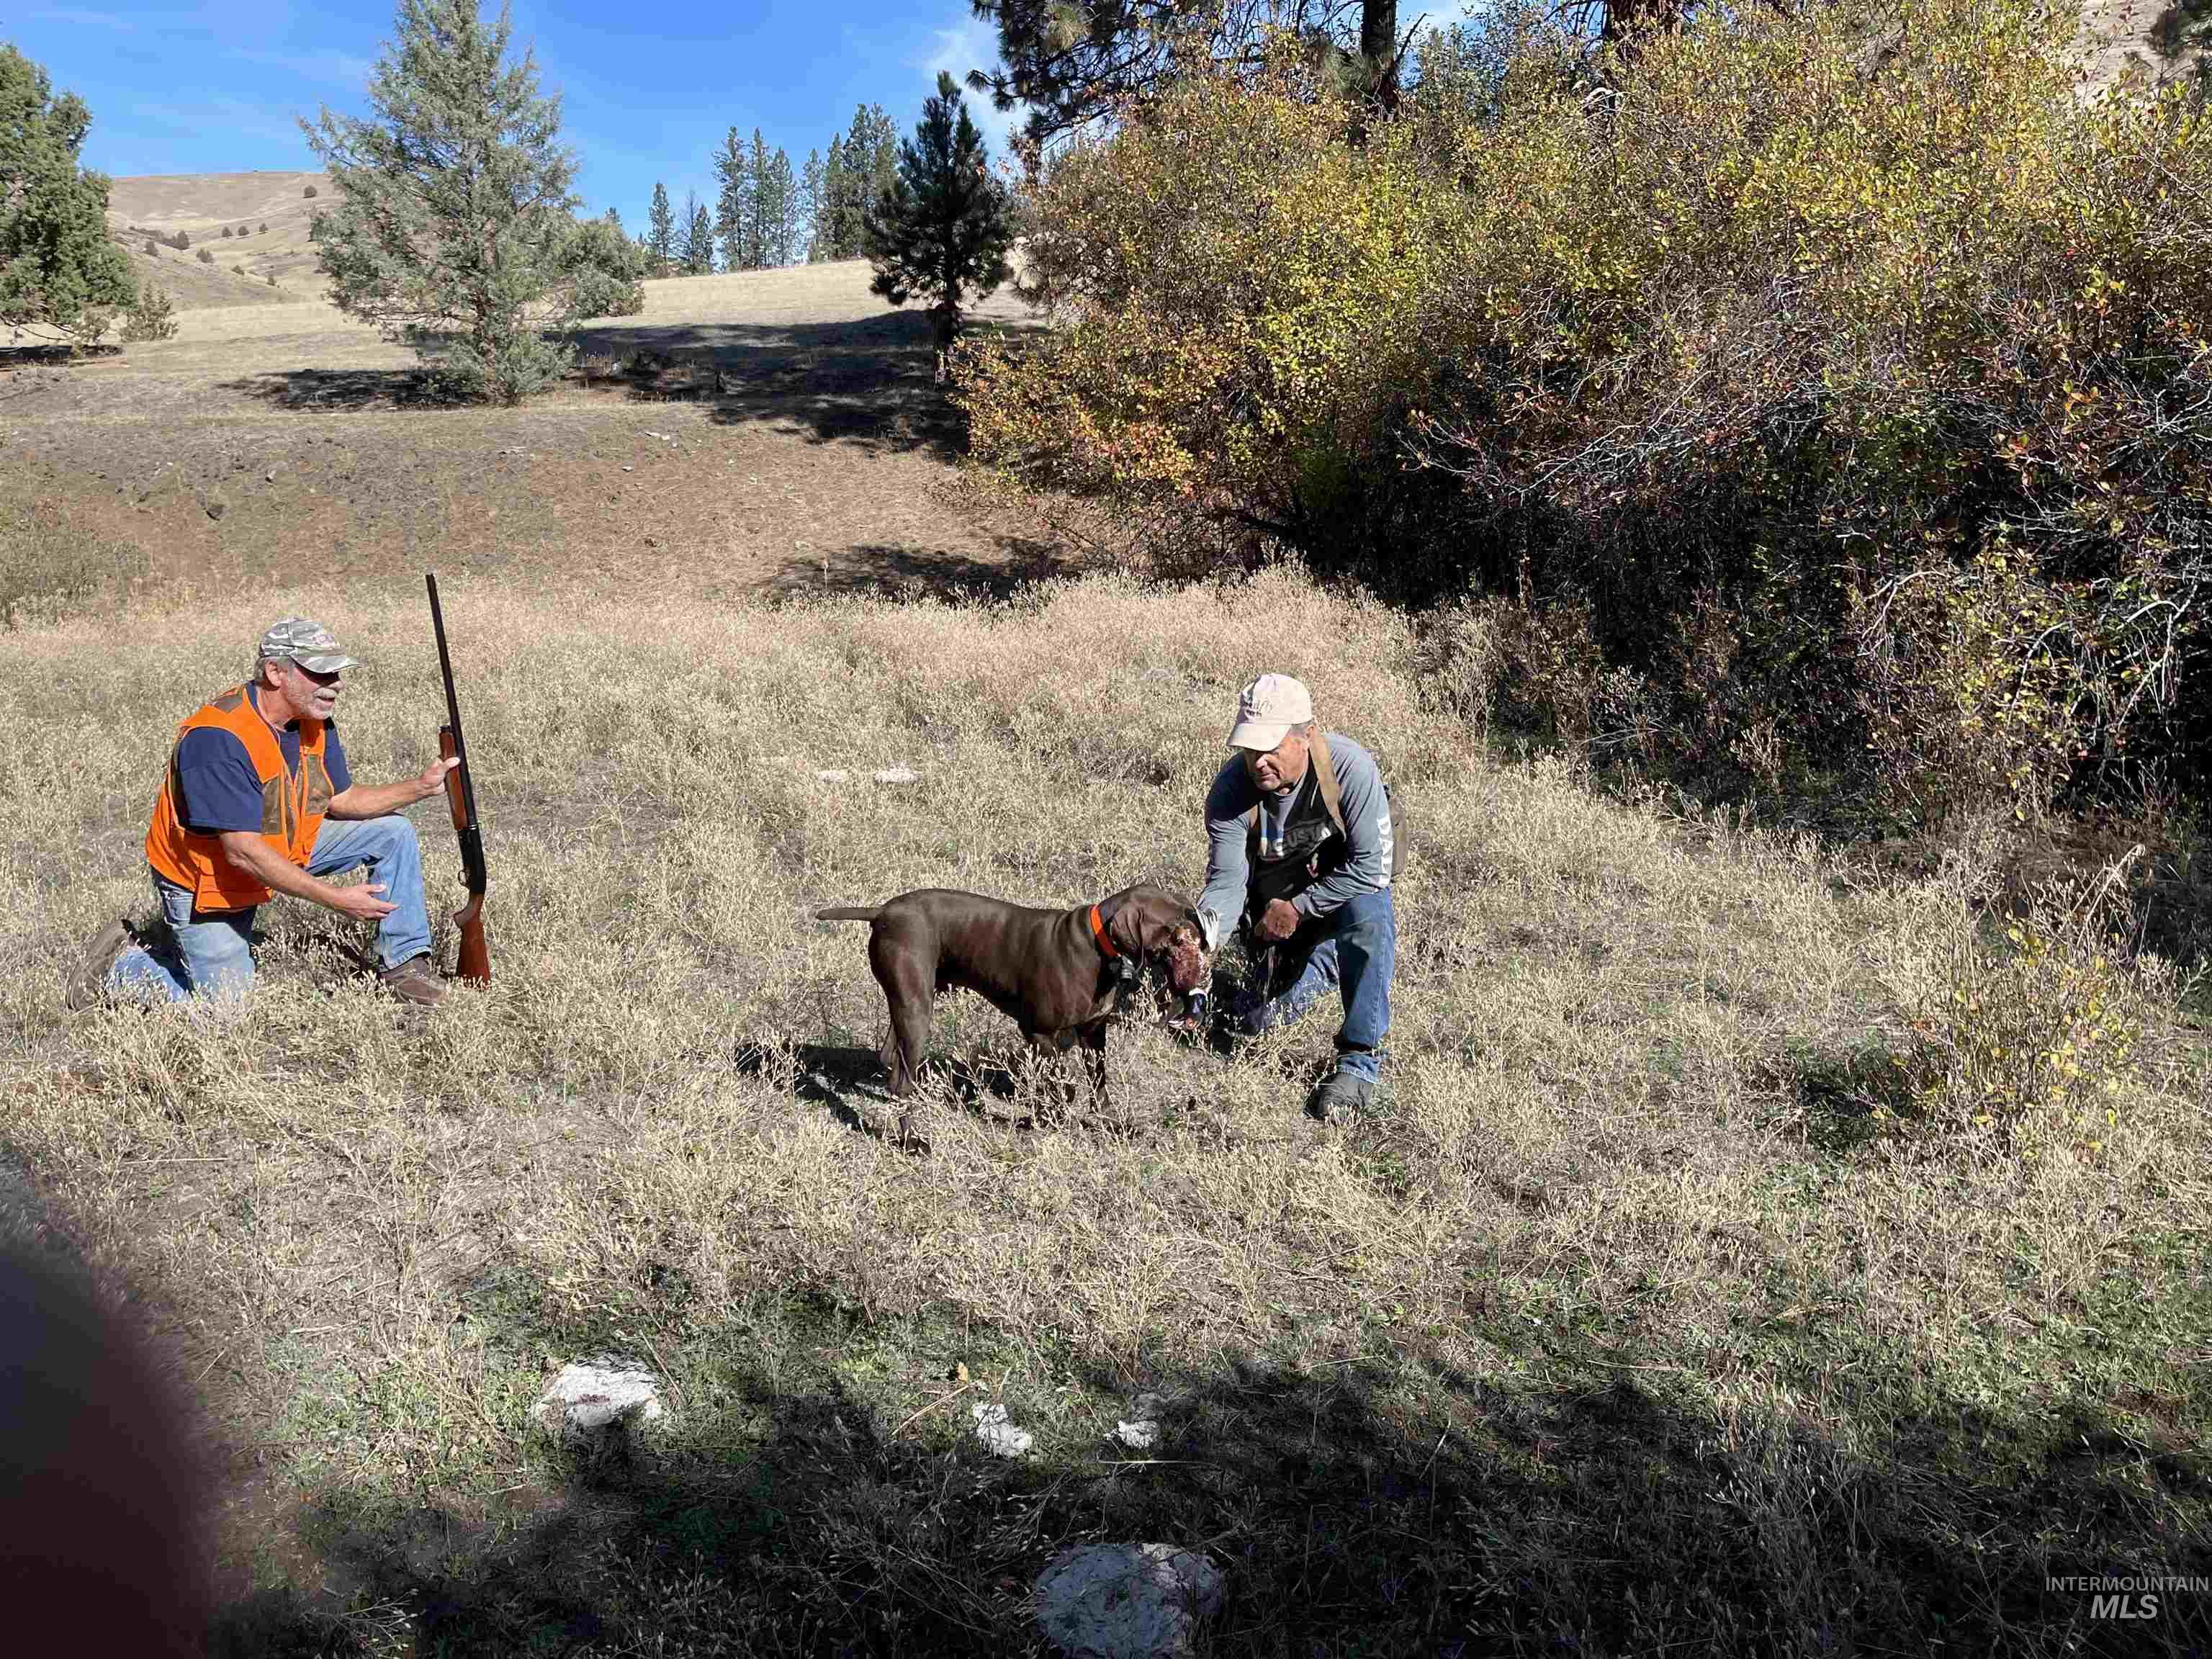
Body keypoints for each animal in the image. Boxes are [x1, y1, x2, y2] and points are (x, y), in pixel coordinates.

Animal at [818, 876, 1212, 1141]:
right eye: (1174, 929)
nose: (1203, 933)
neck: (1100, 948)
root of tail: (882, 911)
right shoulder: (1038, 1031)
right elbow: (1063, 1085)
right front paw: (1047, 1120)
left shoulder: (1093, 1033)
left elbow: (1099, 1086)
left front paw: (1112, 1125)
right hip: (917, 1008)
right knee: (901, 1079)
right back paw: (912, 1141)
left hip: (908, 1002)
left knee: (891, 1060)